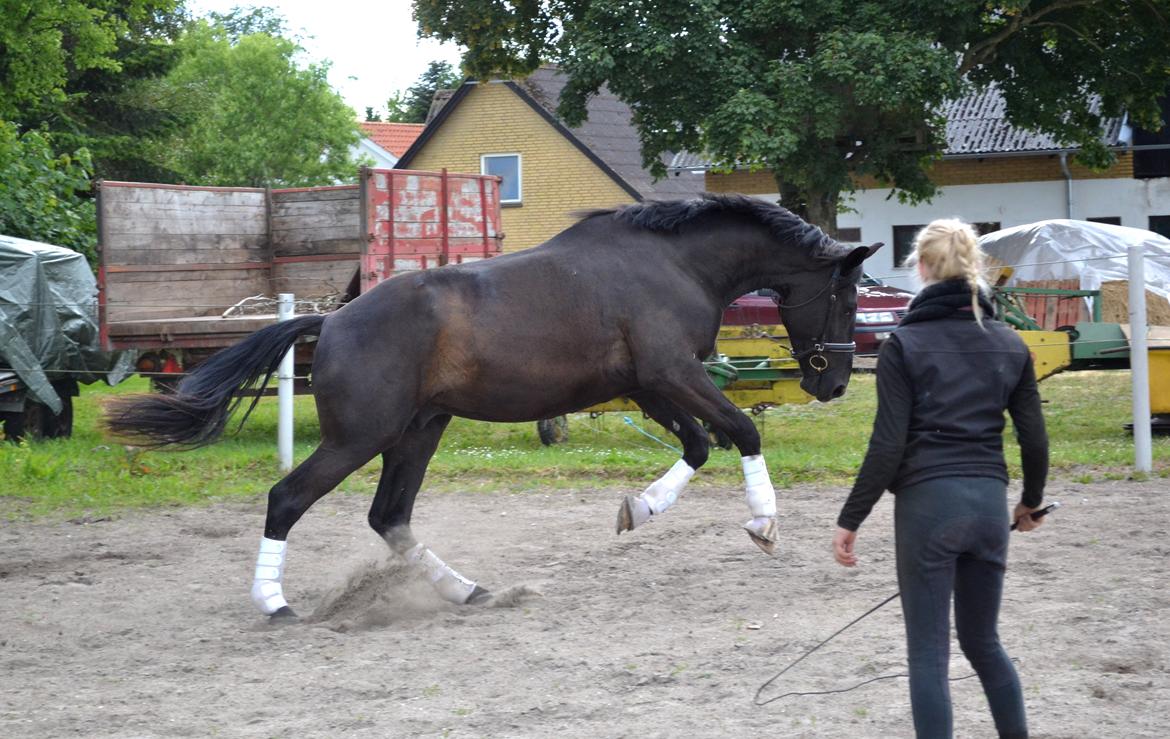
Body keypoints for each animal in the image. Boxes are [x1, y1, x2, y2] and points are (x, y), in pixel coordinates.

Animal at [107, 192, 879, 622]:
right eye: (846, 295)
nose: (837, 384)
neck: (675, 263)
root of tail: (333, 320)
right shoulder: (672, 372)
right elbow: (740, 429)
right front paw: (764, 524)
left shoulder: (651, 384)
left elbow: (697, 445)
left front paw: (640, 508)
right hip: (361, 436)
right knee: (287, 498)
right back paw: (274, 603)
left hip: (420, 430)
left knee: (390, 517)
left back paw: (469, 592)